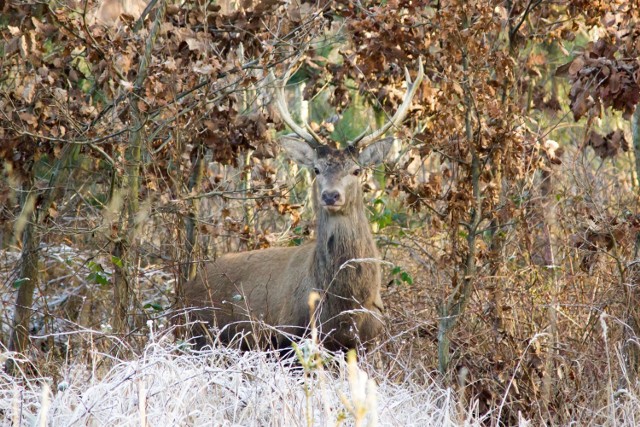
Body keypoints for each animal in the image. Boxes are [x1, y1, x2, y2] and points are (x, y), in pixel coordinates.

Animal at [184, 59, 424, 352]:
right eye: (317, 169)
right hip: (200, 333)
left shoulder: (369, 339)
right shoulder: (289, 333)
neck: (345, 307)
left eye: (356, 170)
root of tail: (182, 294)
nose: (331, 196)